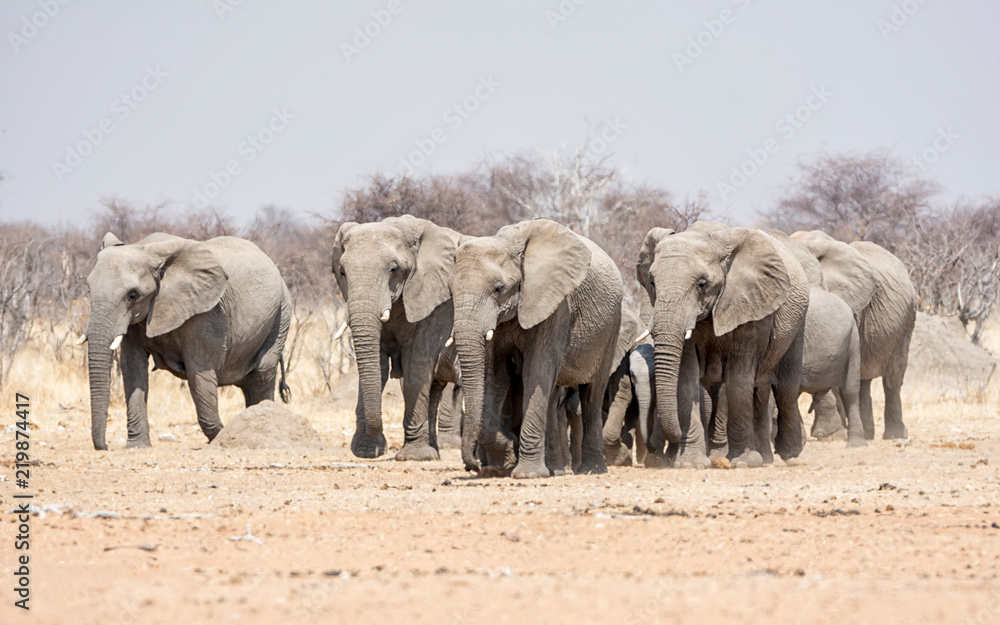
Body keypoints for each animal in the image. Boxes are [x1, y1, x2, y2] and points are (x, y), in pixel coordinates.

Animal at [84, 232, 291, 450]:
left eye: (132, 295)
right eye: (89, 290)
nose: (105, 446)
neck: (147, 249)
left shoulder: (206, 313)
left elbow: (198, 369)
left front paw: (220, 436)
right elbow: (132, 366)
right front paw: (137, 446)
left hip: (281, 314)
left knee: (262, 374)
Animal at [332, 215, 463, 460]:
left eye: (394, 269)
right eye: (342, 272)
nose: (382, 447)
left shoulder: (439, 298)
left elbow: (416, 364)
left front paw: (415, 456)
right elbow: (378, 366)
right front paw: (366, 450)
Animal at [450, 219, 624, 478]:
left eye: (499, 288)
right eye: (450, 290)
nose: (474, 466)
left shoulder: (556, 305)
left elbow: (537, 370)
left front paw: (526, 473)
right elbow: (494, 376)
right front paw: (508, 458)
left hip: (612, 327)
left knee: (592, 393)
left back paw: (591, 470)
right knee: (552, 396)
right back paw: (554, 470)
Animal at [637, 222, 810, 468]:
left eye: (702, 284)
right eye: (652, 282)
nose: (659, 451)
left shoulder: (750, 305)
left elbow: (738, 379)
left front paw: (744, 462)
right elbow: (686, 378)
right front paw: (689, 464)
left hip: (797, 319)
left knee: (785, 387)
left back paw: (789, 454)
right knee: (750, 390)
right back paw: (755, 457)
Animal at [790, 231, 917, 440]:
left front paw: (831, 434)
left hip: (906, 319)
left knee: (893, 376)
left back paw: (894, 435)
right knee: (862, 382)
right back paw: (866, 433)